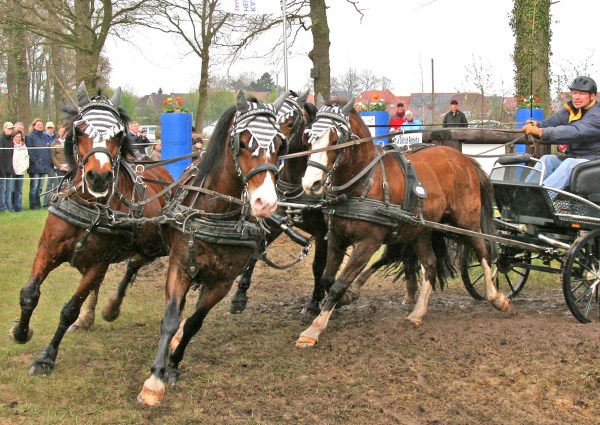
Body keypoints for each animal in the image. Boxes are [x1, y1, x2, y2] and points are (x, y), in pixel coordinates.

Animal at [9, 83, 173, 374]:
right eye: (80, 129)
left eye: (119, 133)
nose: (99, 176)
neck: (89, 205)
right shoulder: (48, 250)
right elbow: (29, 293)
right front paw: (21, 332)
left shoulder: (99, 262)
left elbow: (69, 309)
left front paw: (46, 357)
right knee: (129, 266)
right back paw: (96, 314)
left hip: (155, 244)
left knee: (136, 263)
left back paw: (111, 307)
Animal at [139, 90, 290, 404]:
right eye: (242, 142)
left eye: (281, 145)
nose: (266, 202)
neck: (215, 213)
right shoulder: (179, 267)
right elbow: (170, 318)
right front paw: (154, 380)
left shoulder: (222, 282)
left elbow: (194, 323)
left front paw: (174, 363)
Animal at [229, 90, 330, 314]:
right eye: (273, 120)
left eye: (291, 123)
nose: (273, 151)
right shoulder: (275, 222)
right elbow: (256, 252)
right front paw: (240, 294)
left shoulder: (323, 233)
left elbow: (319, 266)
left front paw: (314, 302)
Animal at [292, 97, 508, 346]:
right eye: (309, 137)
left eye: (336, 140)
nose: (311, 183)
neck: (365, 182)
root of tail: (464, 159)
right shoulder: (337, 237)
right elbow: (328, 279)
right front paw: (346, 298)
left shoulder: (368, 243)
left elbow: (338, 284)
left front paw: (314, 329)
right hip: (421, 230)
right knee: (431, 263)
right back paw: (418, 312)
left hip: (467, 222)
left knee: (483, 251)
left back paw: (496, 298)